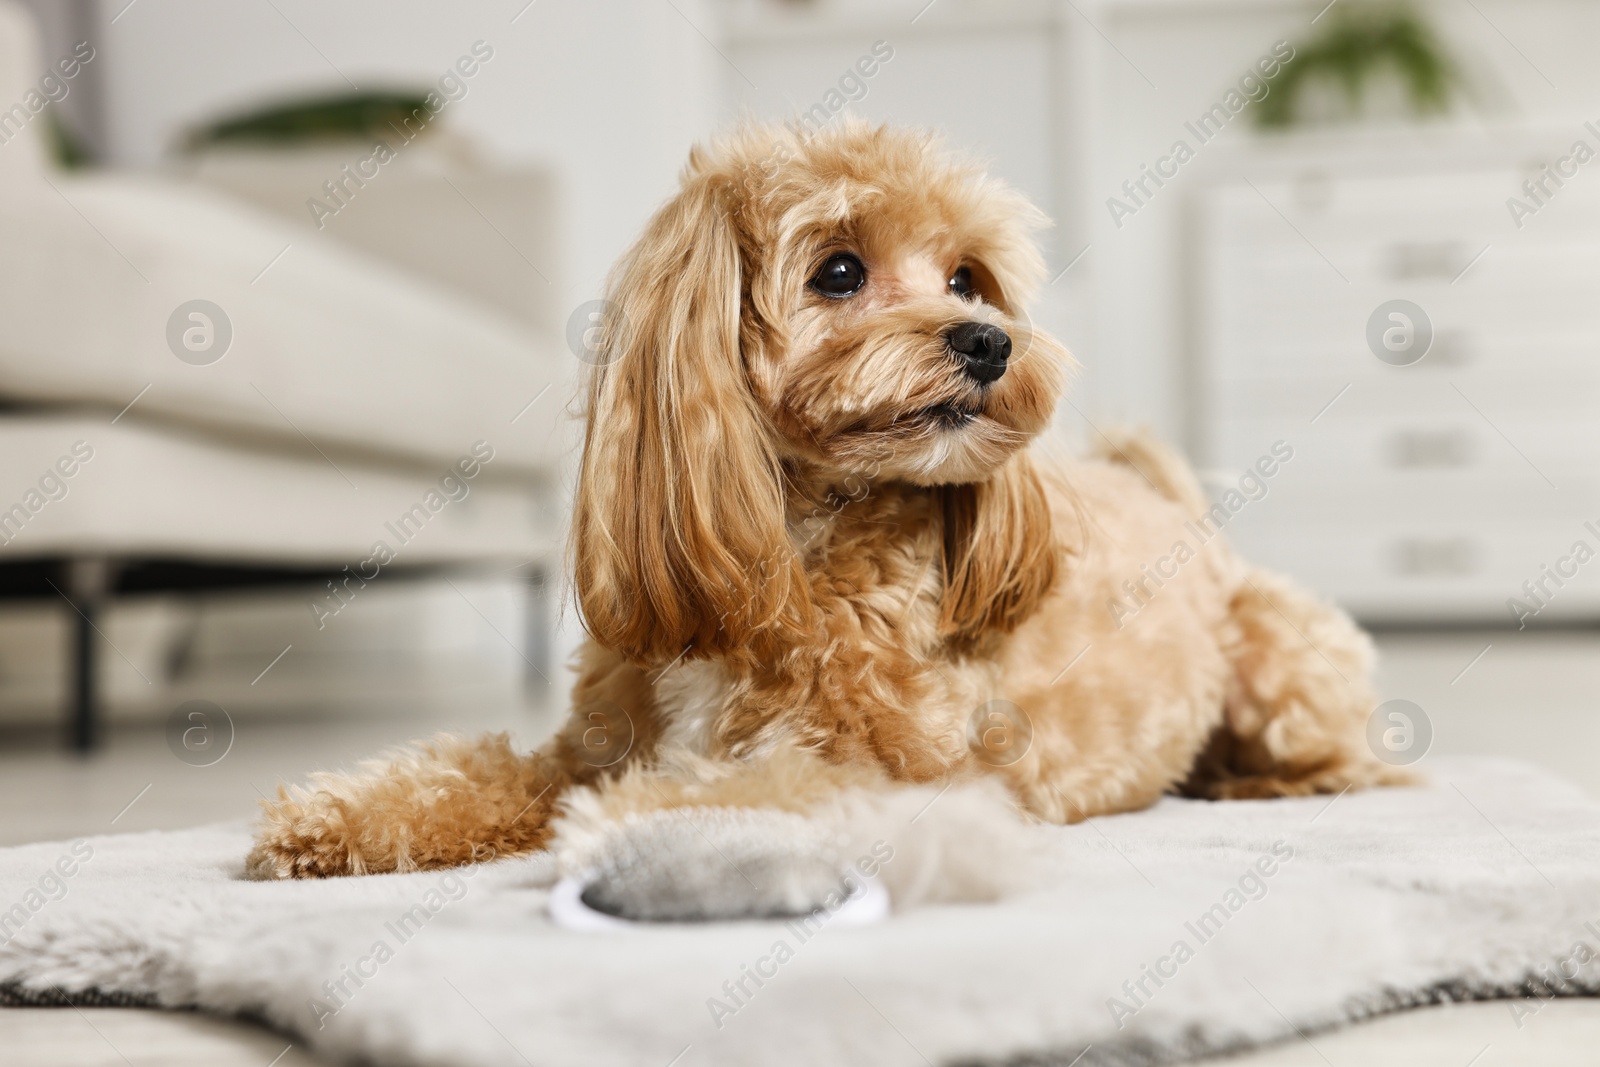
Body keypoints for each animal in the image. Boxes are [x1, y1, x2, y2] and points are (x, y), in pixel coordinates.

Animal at [243, 119, 1408, 883]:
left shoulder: (901, 775)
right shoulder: (587, 742)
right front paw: (337, 813)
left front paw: (632, 826)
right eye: (839, 271)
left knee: (1349, 759)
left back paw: (1261, 784)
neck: (795, 541)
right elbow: (482, 770)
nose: (989, 342)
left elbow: (749, 791)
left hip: (1286, 669)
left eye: (970, 277)